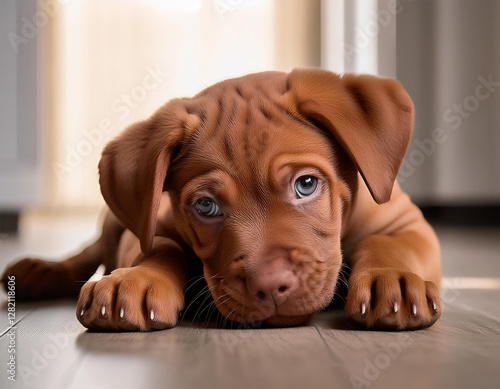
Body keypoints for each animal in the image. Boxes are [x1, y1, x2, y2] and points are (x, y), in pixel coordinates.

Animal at [2, 69, 442, 330]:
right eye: (206, 207)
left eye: (306, 185)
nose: (270, 287)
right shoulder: (148, 227)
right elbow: (159, 248)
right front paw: (135, 279)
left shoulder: (406, 224)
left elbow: (385, 242)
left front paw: (393, 279)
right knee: (88, 251)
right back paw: (39, 270)